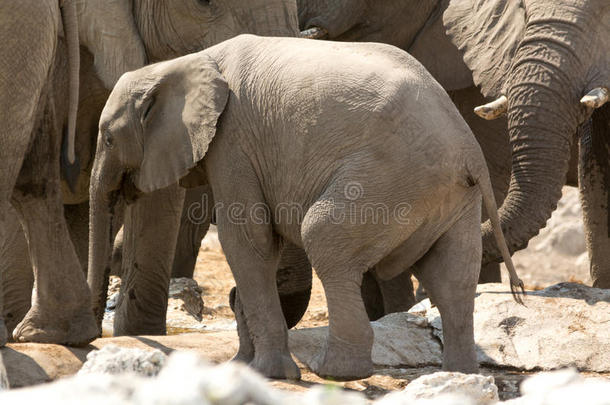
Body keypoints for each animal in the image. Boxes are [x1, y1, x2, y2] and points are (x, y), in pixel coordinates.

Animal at [86, 34, 524, 378]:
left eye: (107, 138)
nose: (93, 334)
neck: (185, 62)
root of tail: (469, 150)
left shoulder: (233, 142)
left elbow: (247, 239)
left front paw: (269, 373)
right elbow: (265, 244)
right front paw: (243, 367)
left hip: (390, 177)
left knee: (324, 238)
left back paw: (338, 373)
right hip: (453, 199)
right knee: (451, 276)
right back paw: (462, 375)